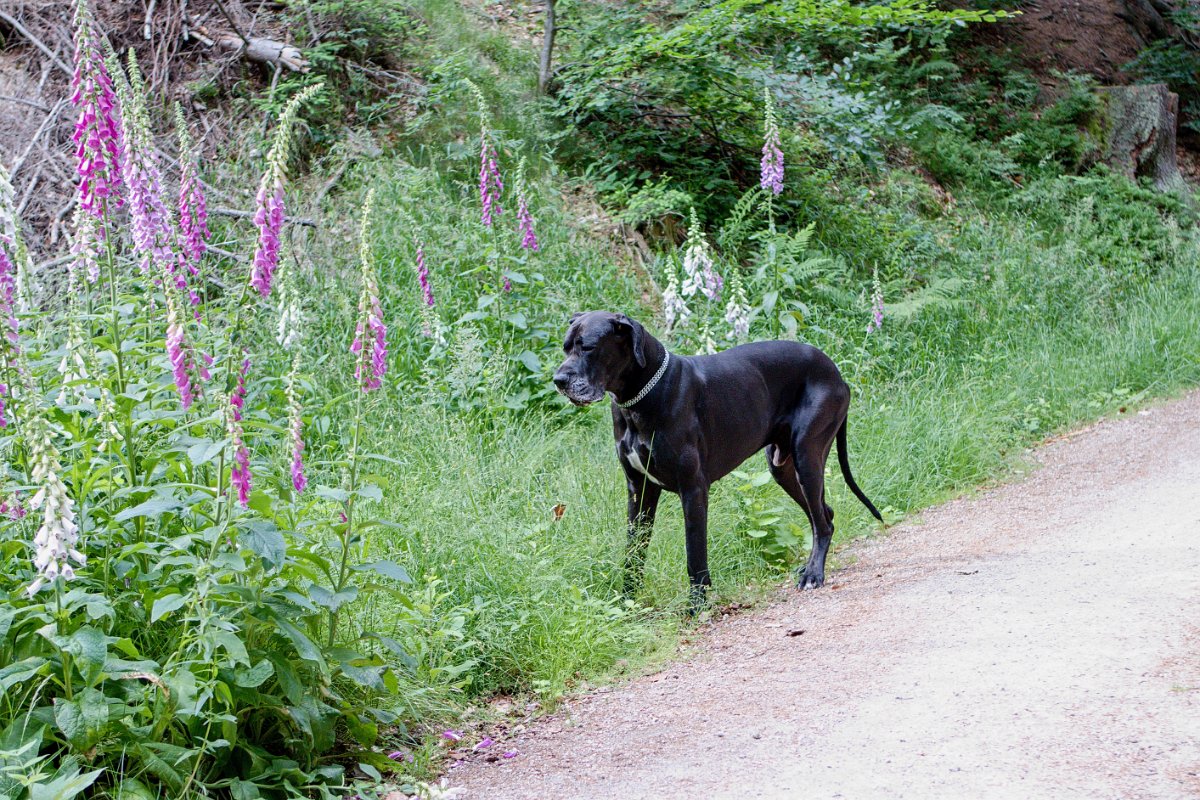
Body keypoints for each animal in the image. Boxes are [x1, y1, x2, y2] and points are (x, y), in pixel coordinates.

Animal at [552, 309, 883, 609]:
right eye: (566, 347)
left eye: (587, 347)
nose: (558, 380)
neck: (639, 398)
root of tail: (835, 371)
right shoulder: (639, 489)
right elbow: (634, 551)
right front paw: (626, 604)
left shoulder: (693, 489)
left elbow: (694, 552)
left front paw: (697, 605)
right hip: (783, 467)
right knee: (824, 514)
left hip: (807, 455)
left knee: (822, 522)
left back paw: (813, 574)